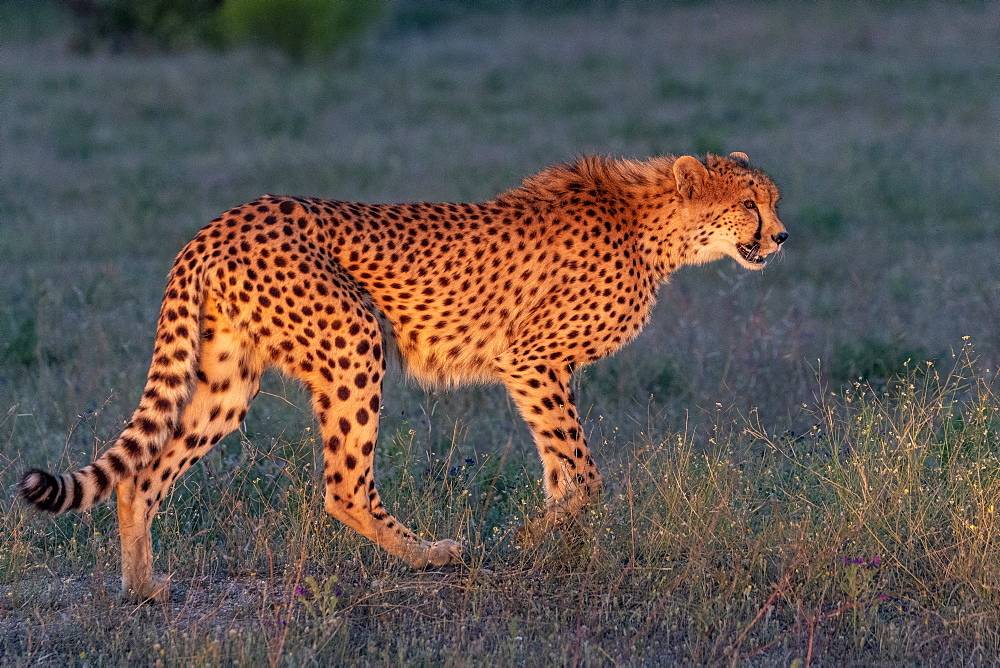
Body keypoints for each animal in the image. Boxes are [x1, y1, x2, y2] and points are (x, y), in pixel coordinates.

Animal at [19, 151, 784, 600]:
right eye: (749, 204)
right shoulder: (532, 358)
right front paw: (532, 539)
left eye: (772, 200)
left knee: (144, 473)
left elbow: (561, 470)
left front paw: (557, 551)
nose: (779, 236)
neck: (652, 225)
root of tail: (223, 221)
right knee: (344, 486)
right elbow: (585, 474)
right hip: (356, 339)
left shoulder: (544, 369)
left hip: (227, 378)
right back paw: (431, 554)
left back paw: (143, 588)